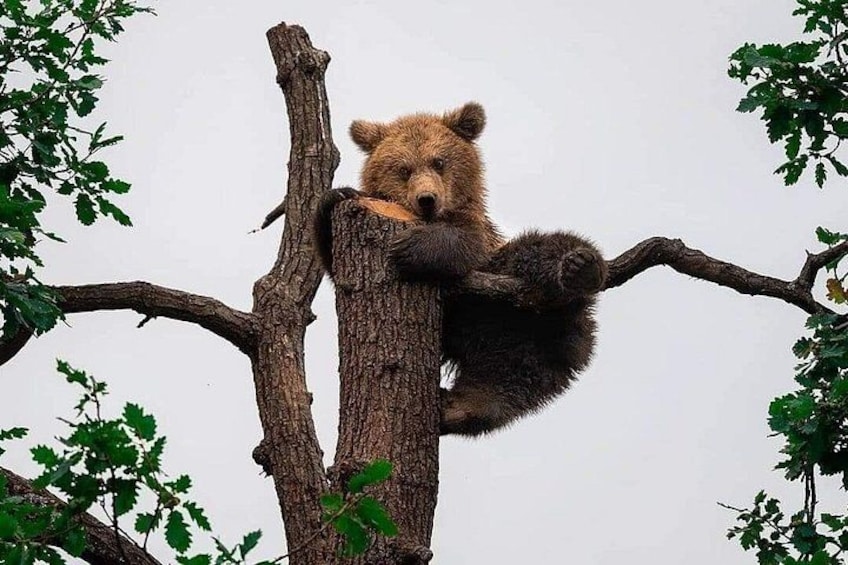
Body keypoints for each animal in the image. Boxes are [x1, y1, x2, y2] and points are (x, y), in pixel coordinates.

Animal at [314, 102, 607, 436]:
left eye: (439, 161)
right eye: (403, 169)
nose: (427, 199)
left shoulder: (478, 236)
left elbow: (463, 242)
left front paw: (410, 247)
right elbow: (331, 258)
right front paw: (336, 195)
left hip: (515, 302)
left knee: (543, 248)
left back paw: (579, 268)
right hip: (505, 338)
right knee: (502, 383)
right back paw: (456, 408)